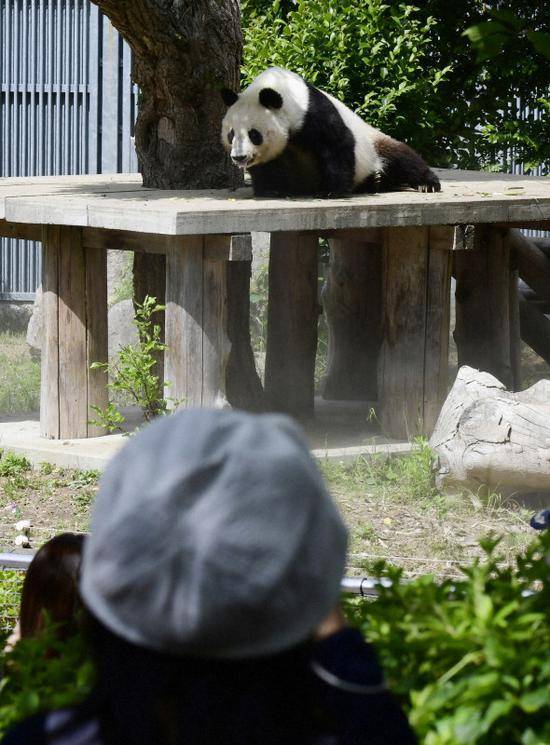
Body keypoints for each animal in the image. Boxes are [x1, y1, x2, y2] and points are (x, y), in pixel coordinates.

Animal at [222, 67, 442, 198]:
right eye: (231, 134)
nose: (239, 157)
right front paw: (271, 189)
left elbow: (337, 145)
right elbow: (266, 166)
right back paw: (376, 181)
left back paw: (427, 184)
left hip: (373, 142)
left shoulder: (312, 112)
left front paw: (329, 191)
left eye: (254, 134)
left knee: (402, 157)